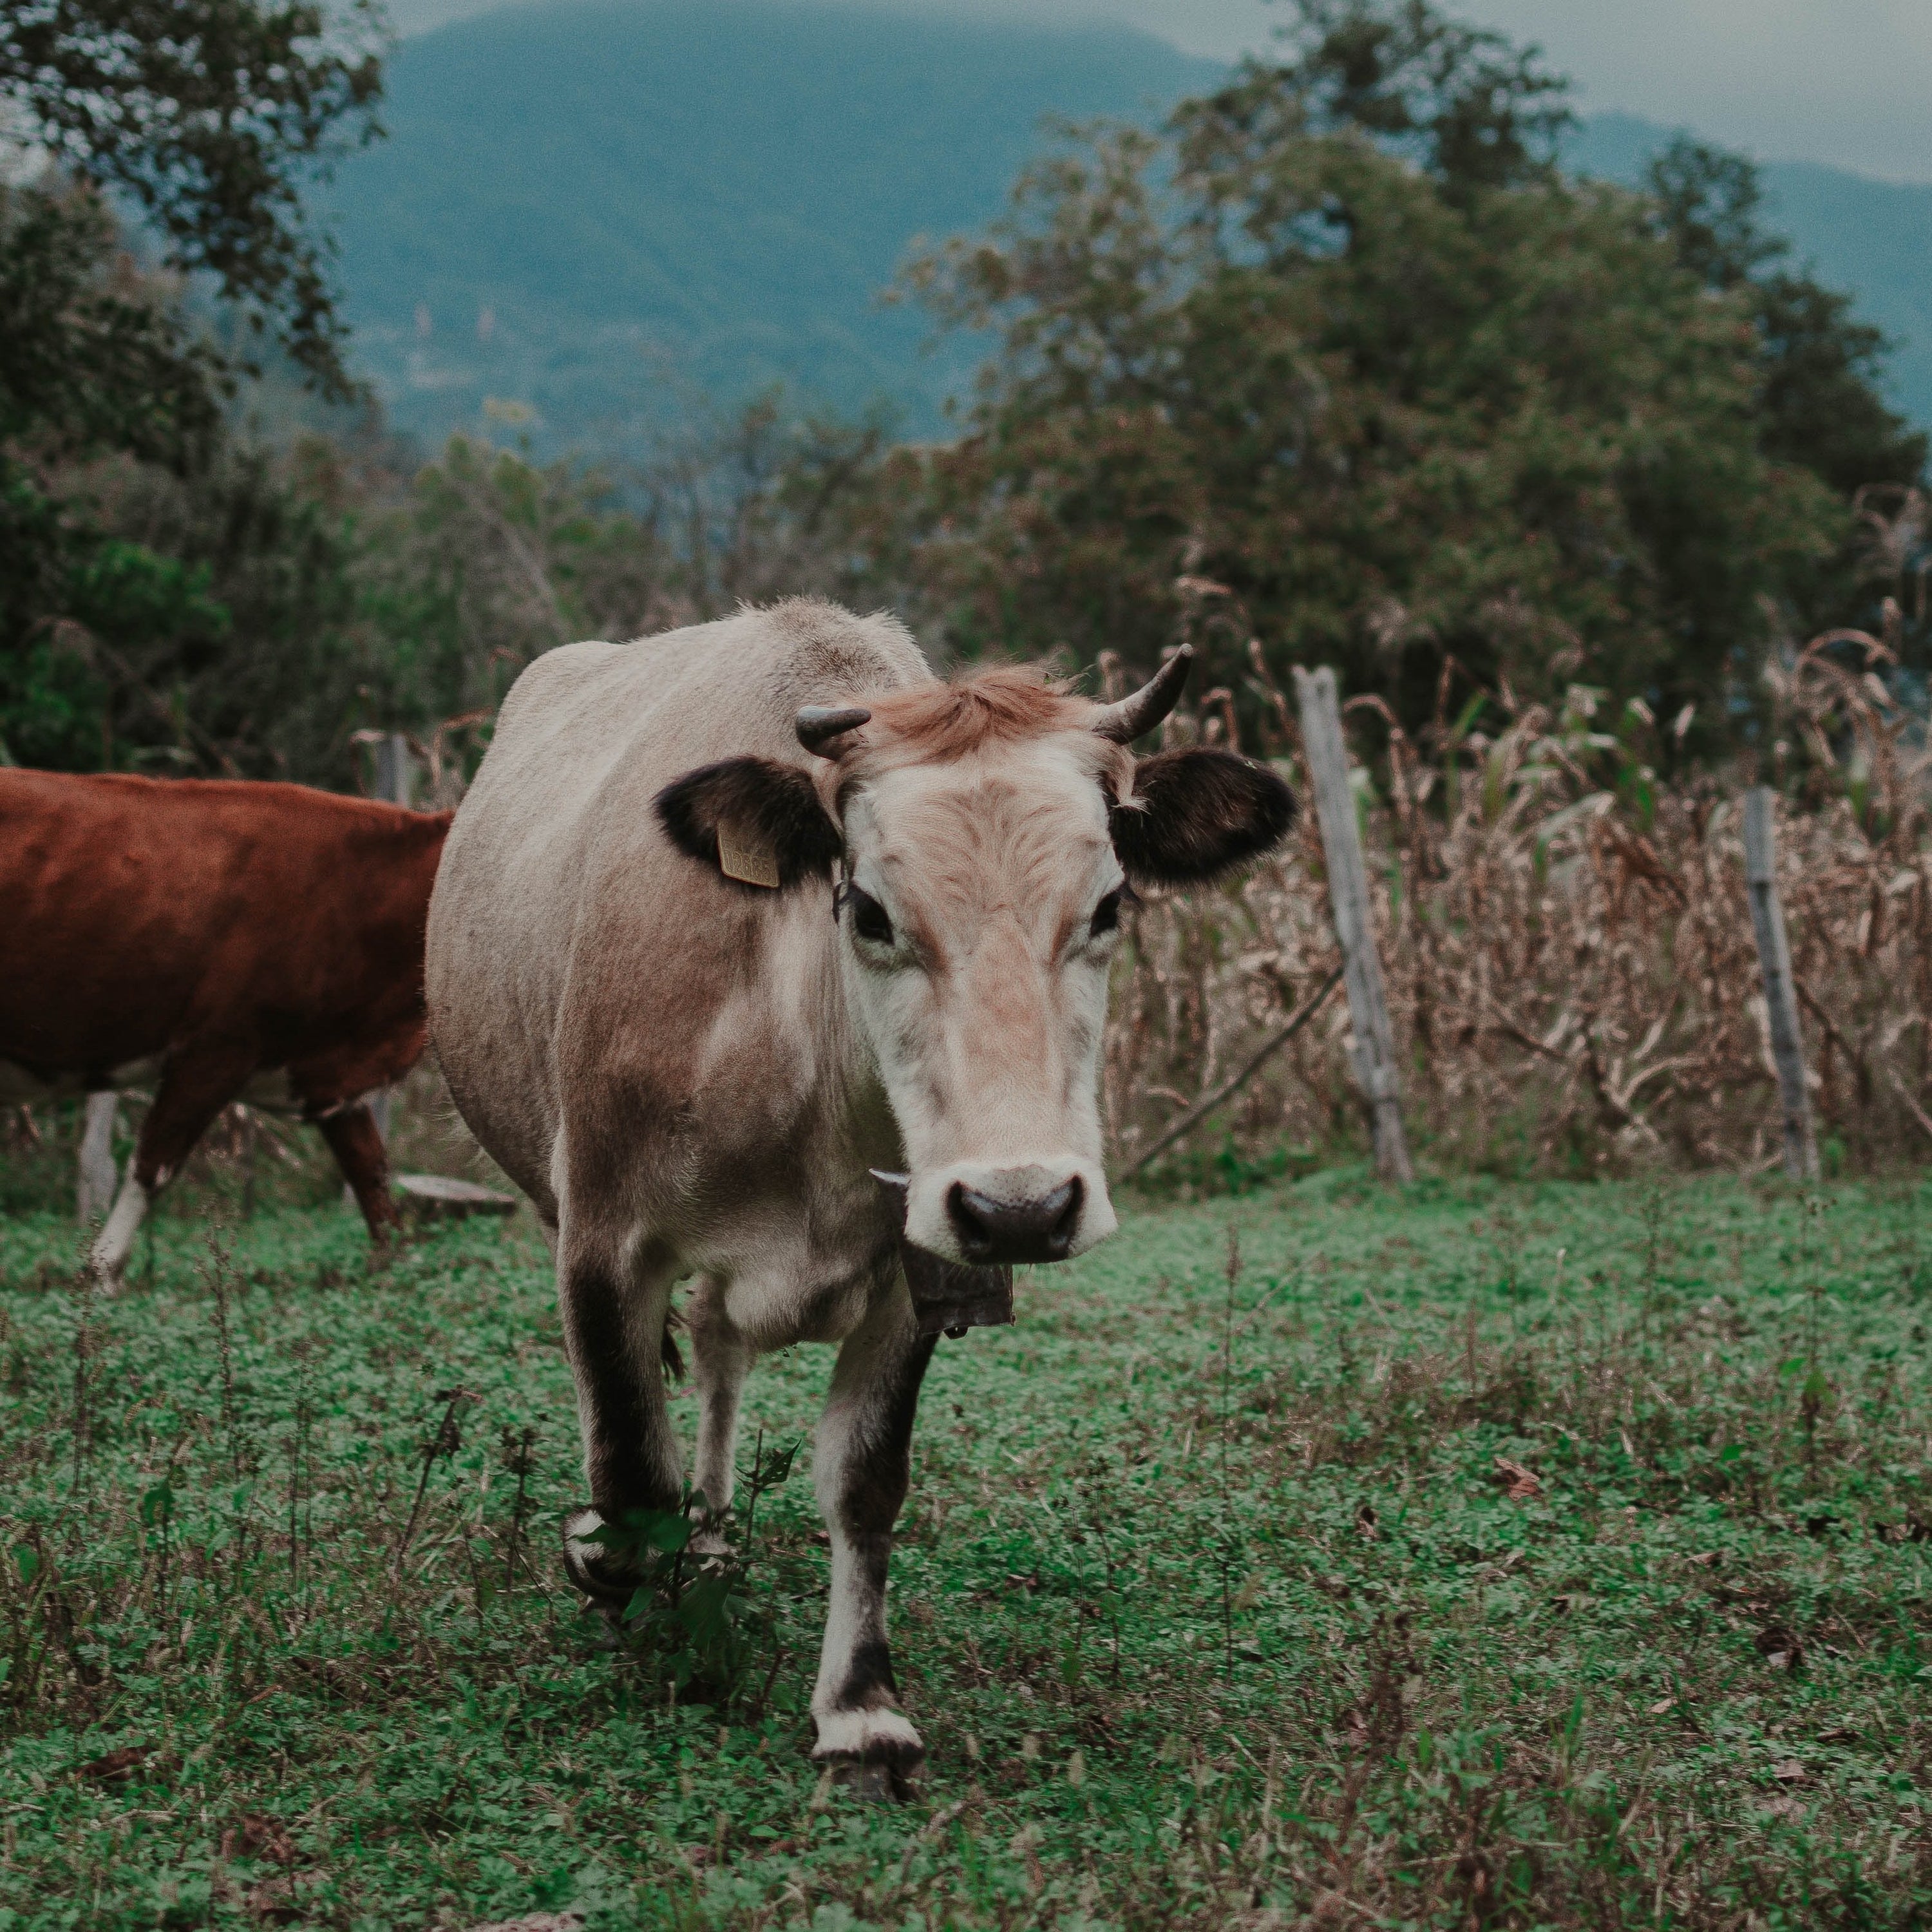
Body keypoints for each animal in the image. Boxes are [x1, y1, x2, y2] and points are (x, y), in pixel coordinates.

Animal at [0, 770, 451, 1284]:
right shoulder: (218, 1046)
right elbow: (154, 1163)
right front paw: (102, 1276)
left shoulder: (327, 1071)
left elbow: (371, 1173)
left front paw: (400, 1271)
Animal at [424, 598, 1294, 1784]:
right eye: (872, 911)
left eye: (1111, 903)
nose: (1024, 1206)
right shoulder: (604, 1240)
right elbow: (629, 1458)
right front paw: (635, 1606)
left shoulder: (919, 1265)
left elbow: (864, 1481)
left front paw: (859, 1709)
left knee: (721, 1359)